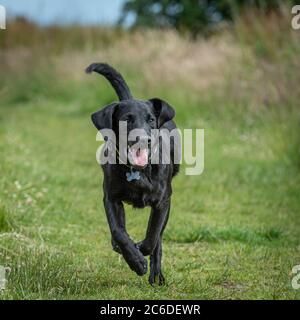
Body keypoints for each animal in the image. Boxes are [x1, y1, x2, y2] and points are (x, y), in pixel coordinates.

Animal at [86, 62, 180, 284]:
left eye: (151, 120)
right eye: (126, 120)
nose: (143, 139)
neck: (138, 171)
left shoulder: (163, 202)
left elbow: (153, 236)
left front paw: (140, 254)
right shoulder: (111, 198)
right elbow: (118, 231)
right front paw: (135, 260)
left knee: (158, 239)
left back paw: (156, 275)